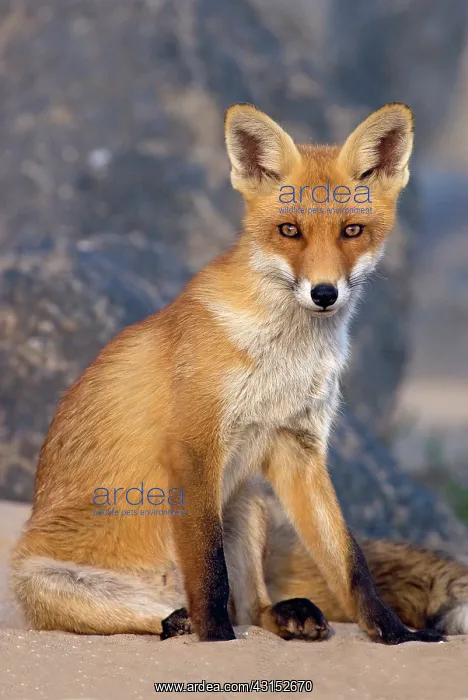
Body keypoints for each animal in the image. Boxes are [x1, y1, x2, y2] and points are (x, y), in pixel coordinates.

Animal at [10, 102, 467, 645]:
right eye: (289, 231)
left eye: (351, 231)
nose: (324, 293)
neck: (284, 360)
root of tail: (160, 584)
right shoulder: (193, 448)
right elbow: (209, 573)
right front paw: (216, 641)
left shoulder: (298, 447)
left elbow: (350, 561)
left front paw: (393, 634)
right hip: (47, 582)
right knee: (164, 613)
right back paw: (180, 621)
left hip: (247, 503)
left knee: (252, 606)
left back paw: (288, 615)